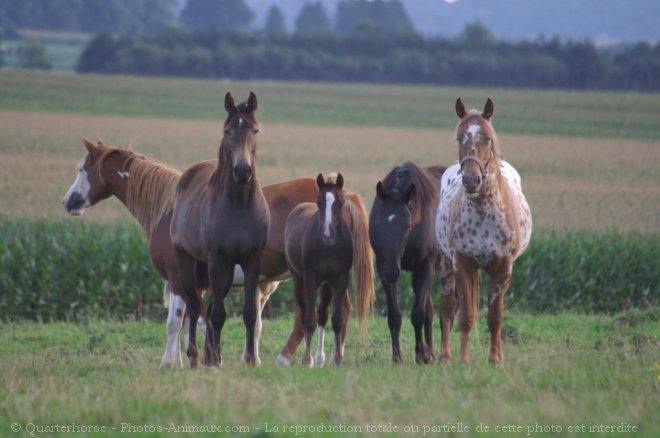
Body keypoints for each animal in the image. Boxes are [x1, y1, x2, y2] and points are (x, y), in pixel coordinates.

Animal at [171, 91, 272, 366]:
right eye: (227, 131)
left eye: (255, 130)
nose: (242, 171)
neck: (239, 204)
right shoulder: (217, 259)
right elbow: (216, 314)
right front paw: (215, 359)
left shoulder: (252, 261)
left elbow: (249, 313)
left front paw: (250, 359)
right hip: (188, 260)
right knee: (195, 305)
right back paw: (196, 355)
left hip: (221, 271)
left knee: (206, 305)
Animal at [284, 174, 376, 366]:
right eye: (319, 202)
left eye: (340, 203)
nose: (328, 234)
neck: (328, 248)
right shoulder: (311, 279)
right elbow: (309, 320)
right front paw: (306, 359)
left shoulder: (340, 279)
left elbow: (337, 318)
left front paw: (338, 358)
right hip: (299, 280)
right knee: (305, 315)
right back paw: (311, 358)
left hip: (327, 285)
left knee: (323, 314)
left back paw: (320, 358)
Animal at [368, 163, 446, 364]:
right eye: (378, 224)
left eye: (407, 225)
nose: (391, 271)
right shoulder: (382, 266)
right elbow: (395, 316)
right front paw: (397, 357)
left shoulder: (427, 265)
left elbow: (417, 314)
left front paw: (420, 355)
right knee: (430, 310)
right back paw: (430, 351)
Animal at [436, 97, 532, 364]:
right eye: (459, 137)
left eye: (487, 137)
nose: (471, 179)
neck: (484, 212)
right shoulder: (462, 265)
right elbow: (465, 316)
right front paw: (463, 359)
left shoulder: (503, 268)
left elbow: (495, 316)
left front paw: (495, 359)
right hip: (446, 266)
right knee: (447, 309)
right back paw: (445, 356)